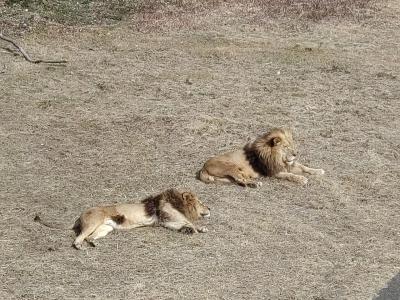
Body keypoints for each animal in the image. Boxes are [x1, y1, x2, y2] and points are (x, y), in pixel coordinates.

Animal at [33, 189, 212, 250]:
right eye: (201, 202)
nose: (210, 208)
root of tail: (79, 216)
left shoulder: (166, 221)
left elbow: (184, 223)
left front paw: (192, 230)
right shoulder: (169, 214)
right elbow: (189, 221)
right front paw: (196, 229)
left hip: (106, 228)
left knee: (89, 237)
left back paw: (94, 244)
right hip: (94, 222)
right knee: (78, 237)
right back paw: (79, 246)